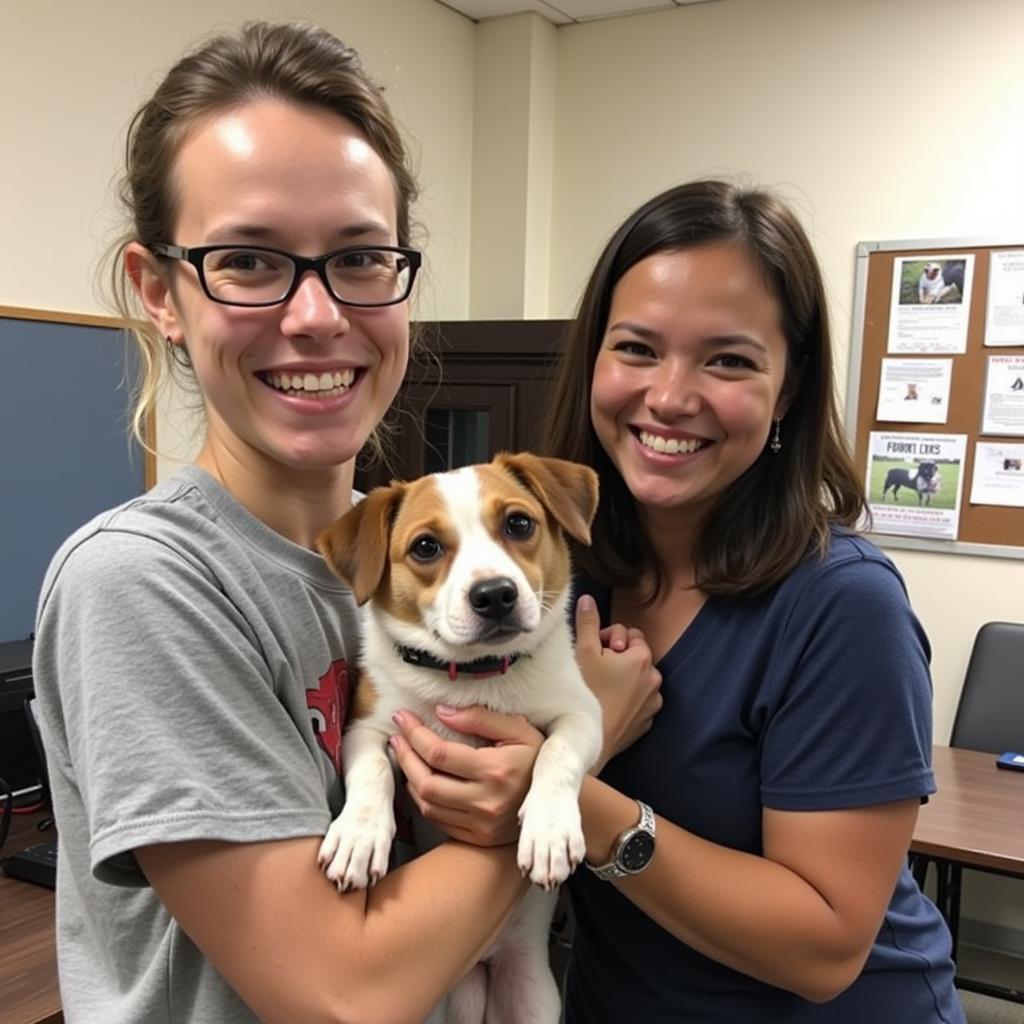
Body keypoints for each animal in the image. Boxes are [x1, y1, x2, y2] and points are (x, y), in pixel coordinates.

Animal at [315, 452, 602, 1019]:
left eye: (519, 523)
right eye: (426, 546)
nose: (495, 595)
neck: (476, 676)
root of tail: (484, 965)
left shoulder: (583, 713)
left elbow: (556, 754)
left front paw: (550, 830)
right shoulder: (368, 727)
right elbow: (374, 771)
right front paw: (359, 836)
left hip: (533, 997)